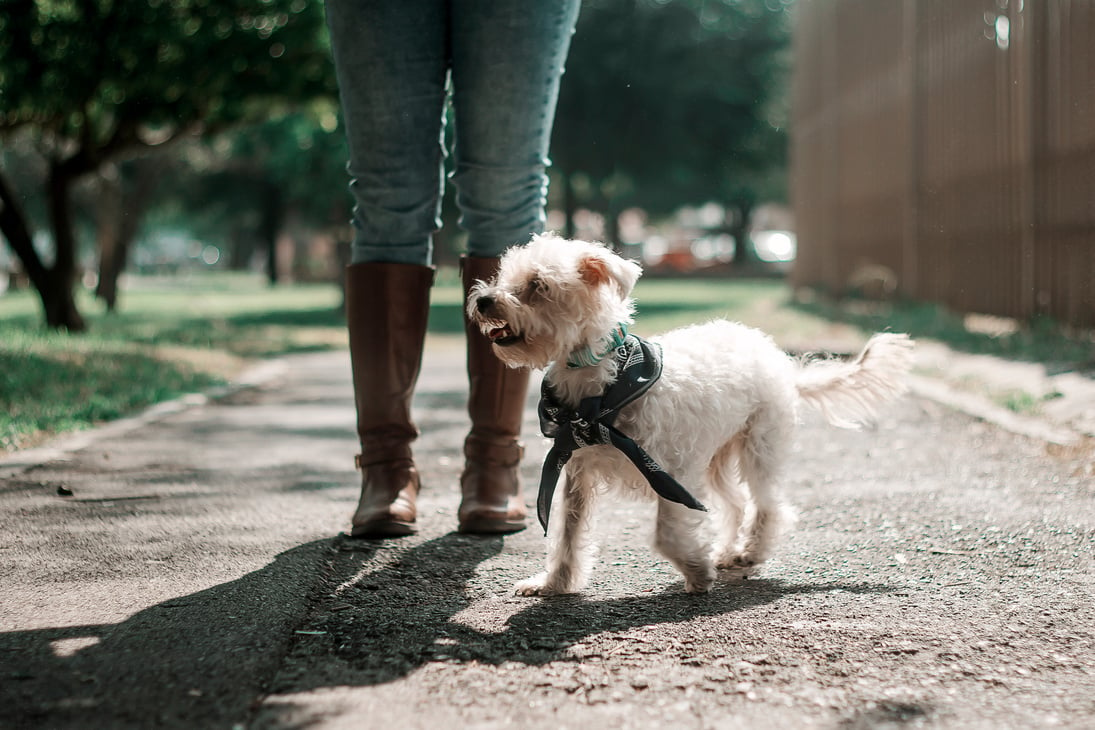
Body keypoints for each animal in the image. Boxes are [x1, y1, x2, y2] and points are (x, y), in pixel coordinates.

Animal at [466, 234, 911, 595]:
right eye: (505, 276)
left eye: (538, 285)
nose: (485, 300)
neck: (607, 389)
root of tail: (779, 359)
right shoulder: (578, 469)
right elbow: (567, 535)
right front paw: (555, 584)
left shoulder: (671, 470)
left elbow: (666, 532)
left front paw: (697, 571)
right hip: (716, 458)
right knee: (736, 505)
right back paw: (730, 550)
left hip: (759, 449)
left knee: (768, 505)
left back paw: (750, 551)